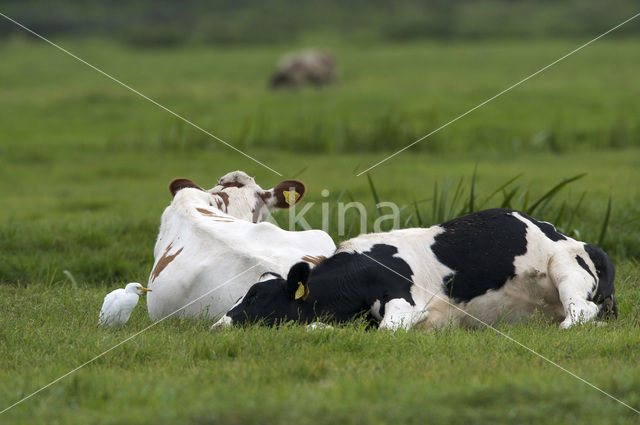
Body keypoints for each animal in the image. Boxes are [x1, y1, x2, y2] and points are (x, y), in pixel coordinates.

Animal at [214, 207, 616, 330]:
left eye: (257, 296)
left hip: (565, 267)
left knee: (582, 310)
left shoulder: (404, 301)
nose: (218, 325)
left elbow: (386, 330)